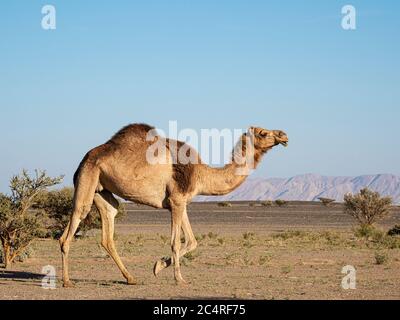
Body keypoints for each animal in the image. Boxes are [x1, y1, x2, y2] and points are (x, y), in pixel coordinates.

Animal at [59, 124, 288, 286]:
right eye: (263, 133)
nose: (283, 135)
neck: (201, 174)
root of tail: (83, 160)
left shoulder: (180, 202)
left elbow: (192, 241)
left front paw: (158, 266)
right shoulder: (177, 200)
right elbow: (176, 242)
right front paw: (179, 279)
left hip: (102, 190)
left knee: (108, 226)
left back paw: (131, 278)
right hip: (88, 178)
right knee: (74, 222)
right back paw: (67, 281)